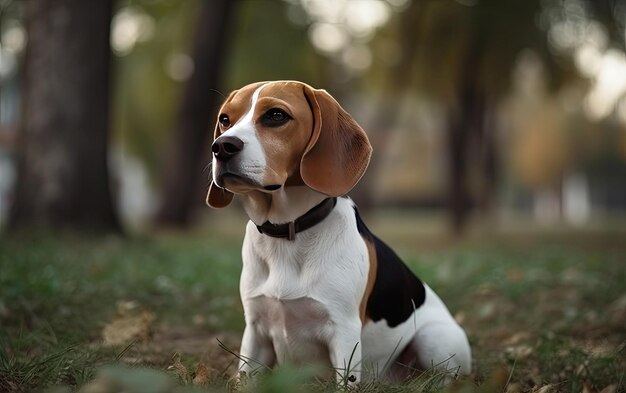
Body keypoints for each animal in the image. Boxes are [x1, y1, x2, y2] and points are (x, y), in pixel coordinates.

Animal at [207, 79, 470, 382]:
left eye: (276, 115)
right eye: (225, 119)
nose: (221, 147)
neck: (289, 230)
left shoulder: (343, 332)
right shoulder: (256, 331)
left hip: (434, 339)